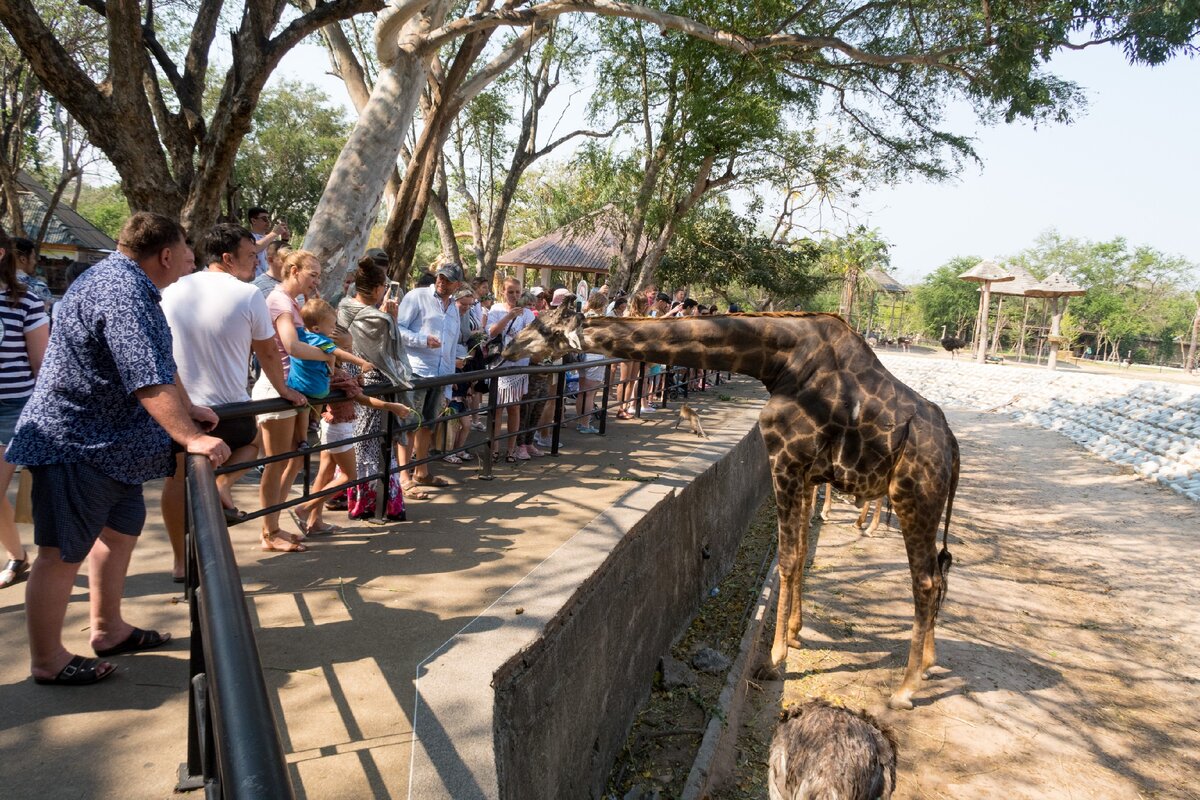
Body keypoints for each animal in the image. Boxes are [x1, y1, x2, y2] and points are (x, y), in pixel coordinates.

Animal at [501, 303, 960, 710]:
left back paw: (905, 689)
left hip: (913, 498)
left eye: (545, 324)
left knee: (926, 581)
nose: (506, 347)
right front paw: (795, 634)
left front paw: (773, 661)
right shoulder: (808, 474)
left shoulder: (785, 460)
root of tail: (952, 449)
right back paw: (930, 663)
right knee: (938, 574)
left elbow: (789, 559)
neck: (778, 362)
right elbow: (800, 550)